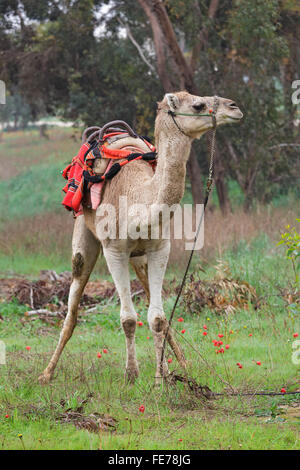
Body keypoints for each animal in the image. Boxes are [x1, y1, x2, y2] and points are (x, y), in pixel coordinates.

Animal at [38, 91, 243, 386]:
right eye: (198, 105)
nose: (235, 108)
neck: (138, 200)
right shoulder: (114, 251)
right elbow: (128, 319)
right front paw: (131, 374)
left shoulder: (159, 249)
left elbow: (157, 317)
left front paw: (161, 379)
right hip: (83, 235)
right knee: (72, 309)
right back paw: (46, 373)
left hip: (140, 259)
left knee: (153, 305)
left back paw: (179, 364)